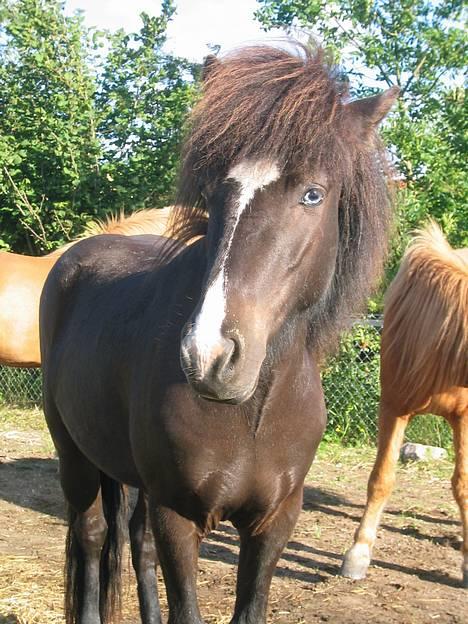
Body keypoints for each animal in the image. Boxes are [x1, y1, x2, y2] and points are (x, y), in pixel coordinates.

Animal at [41, 45, 398, 624]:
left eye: (313, 194)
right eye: (211, 193)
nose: (207, 356)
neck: (253, 415)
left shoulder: (274, 524)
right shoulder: (178, 517)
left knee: (134, 543)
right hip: (73, 453)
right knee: (91, 536)